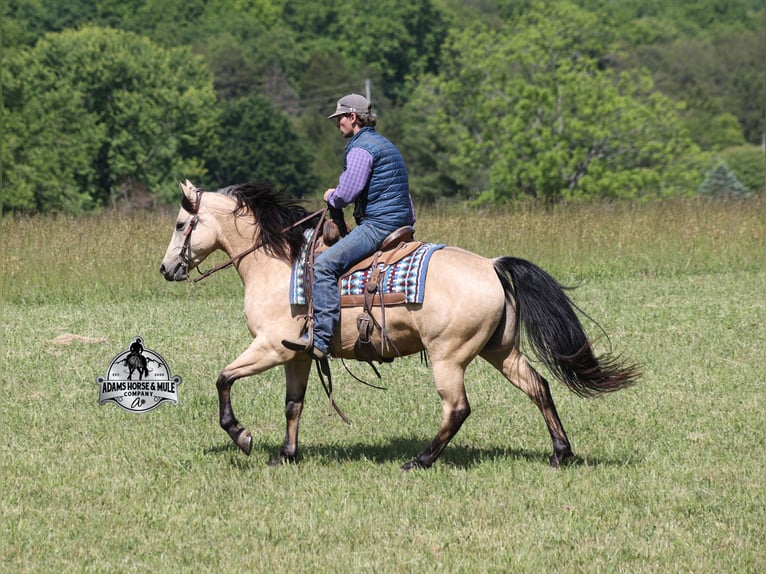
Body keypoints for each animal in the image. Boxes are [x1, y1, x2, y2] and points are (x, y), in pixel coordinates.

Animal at [159, 180, 639, 470]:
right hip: (500, 351)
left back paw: (420, 461)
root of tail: (492, 265)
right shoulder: (297, 355)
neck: (278, 265)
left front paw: (241, 435)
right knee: (539, 387)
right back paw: (561, 452)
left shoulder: (270, 347)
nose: (166, 269)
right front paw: (286, 455)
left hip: (449, 358)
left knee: (457, 408)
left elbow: (224, 378)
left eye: (182, 223)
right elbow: (293, 405)